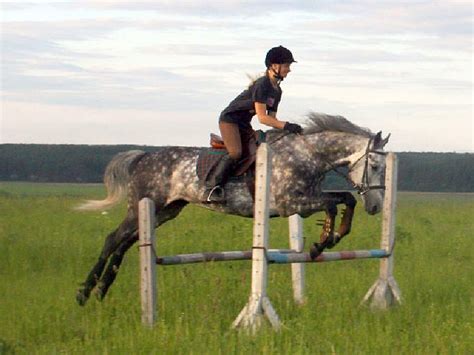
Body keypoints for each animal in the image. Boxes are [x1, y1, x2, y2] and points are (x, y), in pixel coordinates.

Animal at [76, 113, 390, 306]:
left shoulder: (308, 199)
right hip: (142, 207)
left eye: (385, 168)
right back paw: (85, 292)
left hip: (165, 210)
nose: (376, 206)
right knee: (113, 239)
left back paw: (102, 289)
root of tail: (143, 157)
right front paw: (322, 242)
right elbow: (333, 203)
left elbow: (344, 199)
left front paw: (329, 239)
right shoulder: (291, 204)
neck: (305, 155)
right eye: (375, 166)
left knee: (127, 243)